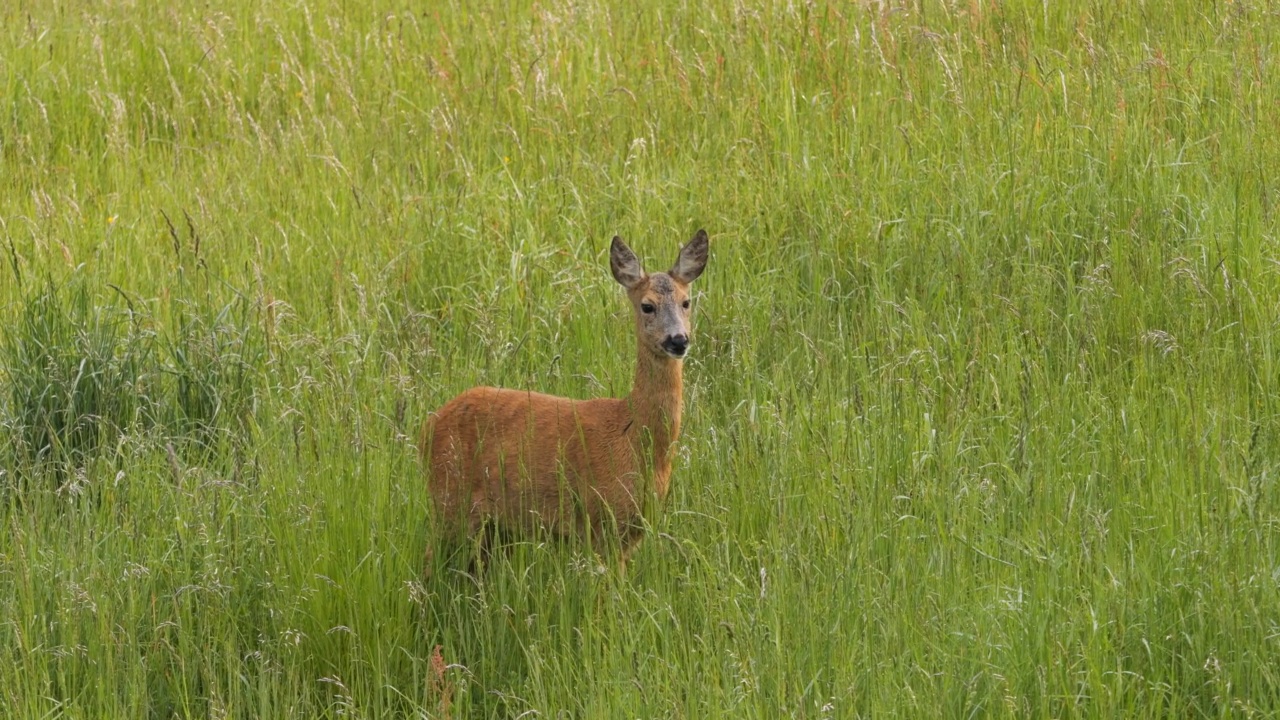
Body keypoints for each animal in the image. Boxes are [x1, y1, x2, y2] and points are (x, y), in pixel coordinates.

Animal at [427, 229, 711, 571]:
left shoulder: (631, 532)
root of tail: (429, 424)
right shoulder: (601, 521)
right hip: (449, 502)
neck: (634, 438)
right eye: (647, 306)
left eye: (686, 302)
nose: (678, 340)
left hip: (494, 527)